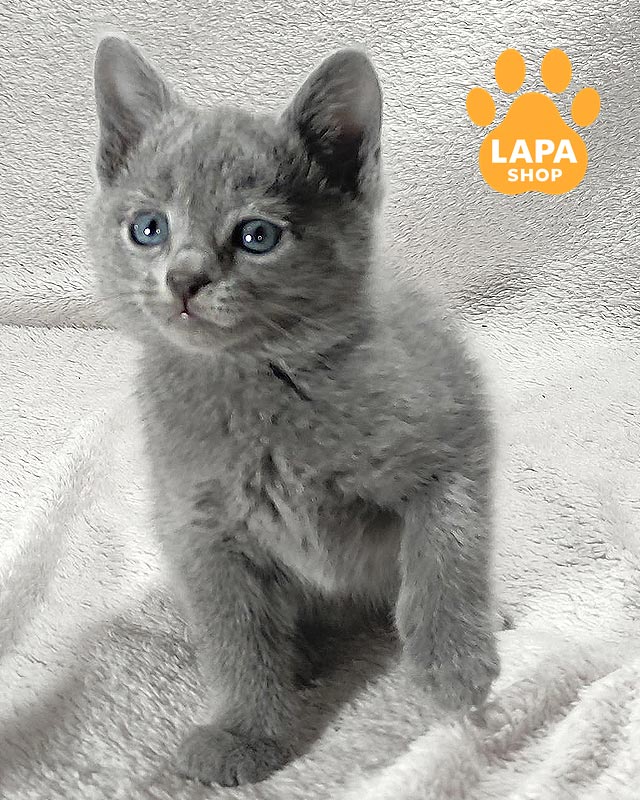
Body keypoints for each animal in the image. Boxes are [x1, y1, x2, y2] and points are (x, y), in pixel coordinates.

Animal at [90, 36, 500, 787]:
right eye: (148, 228)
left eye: (256, 236)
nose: (184, 278)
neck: (259, 385)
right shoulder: (199, 528)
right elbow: (235, 637)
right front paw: (245, 729)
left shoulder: (449, 440)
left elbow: (446, 552)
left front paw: (456, 664)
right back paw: (299, 658)